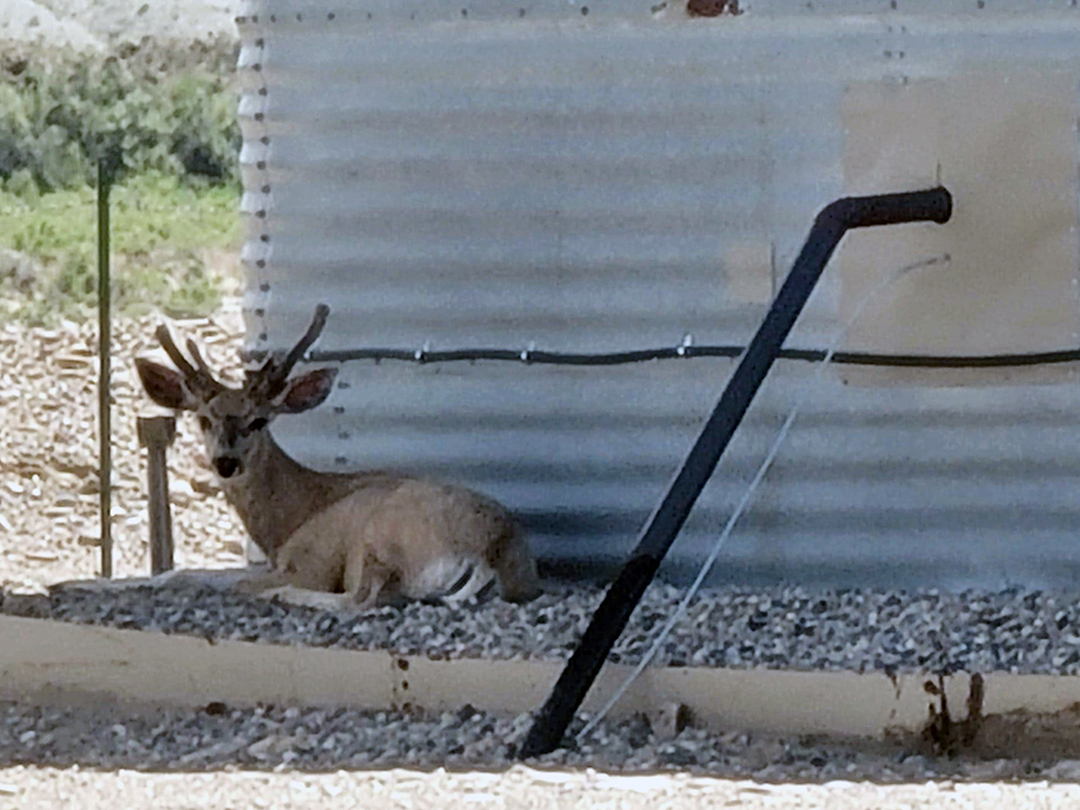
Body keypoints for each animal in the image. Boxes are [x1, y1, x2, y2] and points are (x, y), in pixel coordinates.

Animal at [132, 304, 540, 609]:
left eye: (259, 420)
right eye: (204, 419)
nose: (226, 463)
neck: (291, 518)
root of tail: (489, 553)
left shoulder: (312, 561)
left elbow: (233, 582)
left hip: (382, 539)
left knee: (365, 599)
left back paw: (283, 594)